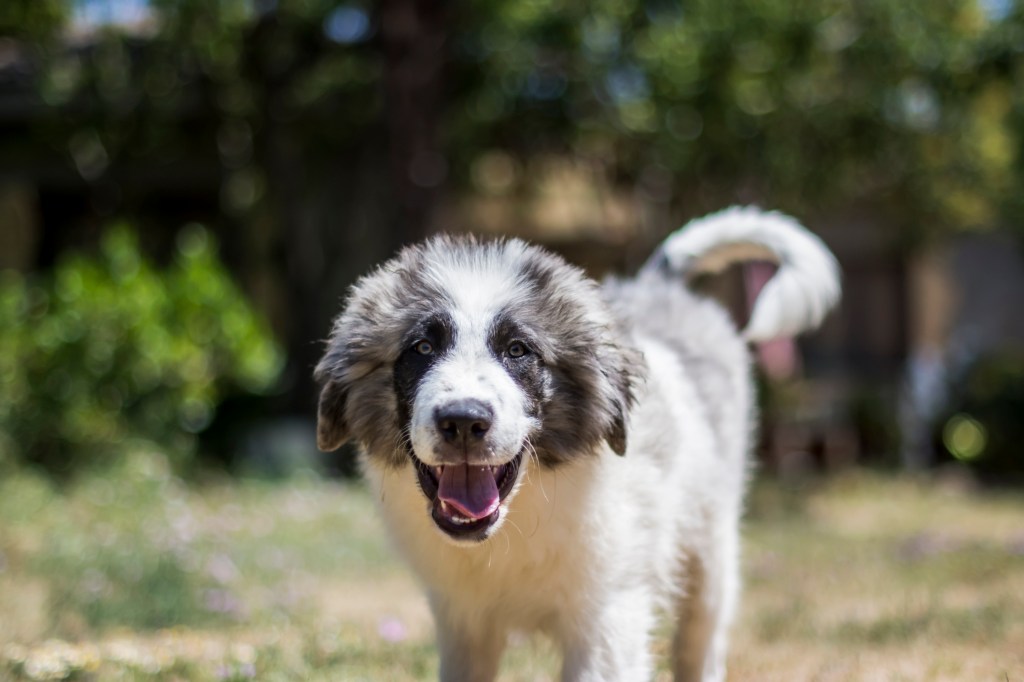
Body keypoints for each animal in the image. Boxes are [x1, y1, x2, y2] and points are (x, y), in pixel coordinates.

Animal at [313, 206, 839, 679]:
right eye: (422, 348)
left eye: (518, 350)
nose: (463, 420)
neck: (516, 521)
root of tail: (656, 287)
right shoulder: (462, 622)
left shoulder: (609, 618)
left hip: (711, 555)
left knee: (700, 644)